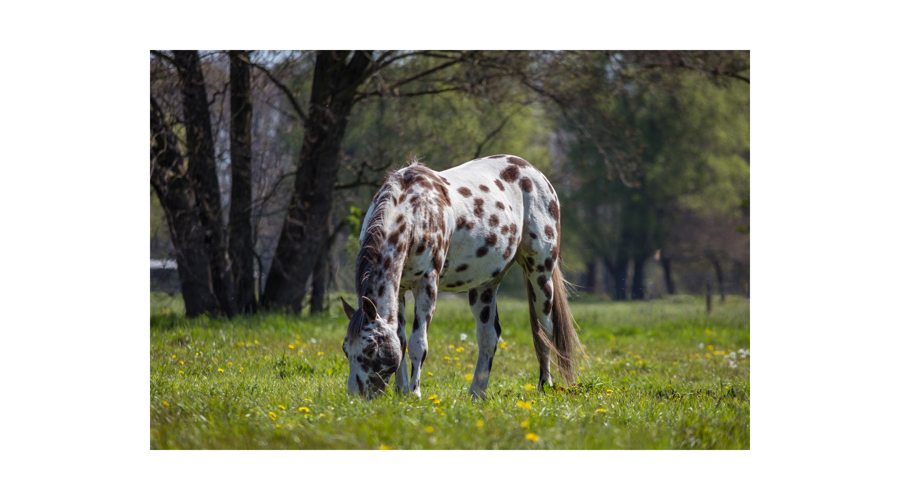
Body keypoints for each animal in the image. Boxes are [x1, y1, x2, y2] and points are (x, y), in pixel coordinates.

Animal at [340, 154, 582, 399]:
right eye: (345, 348)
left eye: (370, 348)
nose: (356, 397)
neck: (416, 211)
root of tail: (534, 172)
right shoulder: (399, 290)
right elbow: (401, 340)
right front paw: (401, 391)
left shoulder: (427, 284)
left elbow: (418, 344)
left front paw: (414, 394)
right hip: (485, 286)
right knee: (488, 337)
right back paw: (477, 394)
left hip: (540, 274)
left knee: (544, 331)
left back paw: (544, 385)